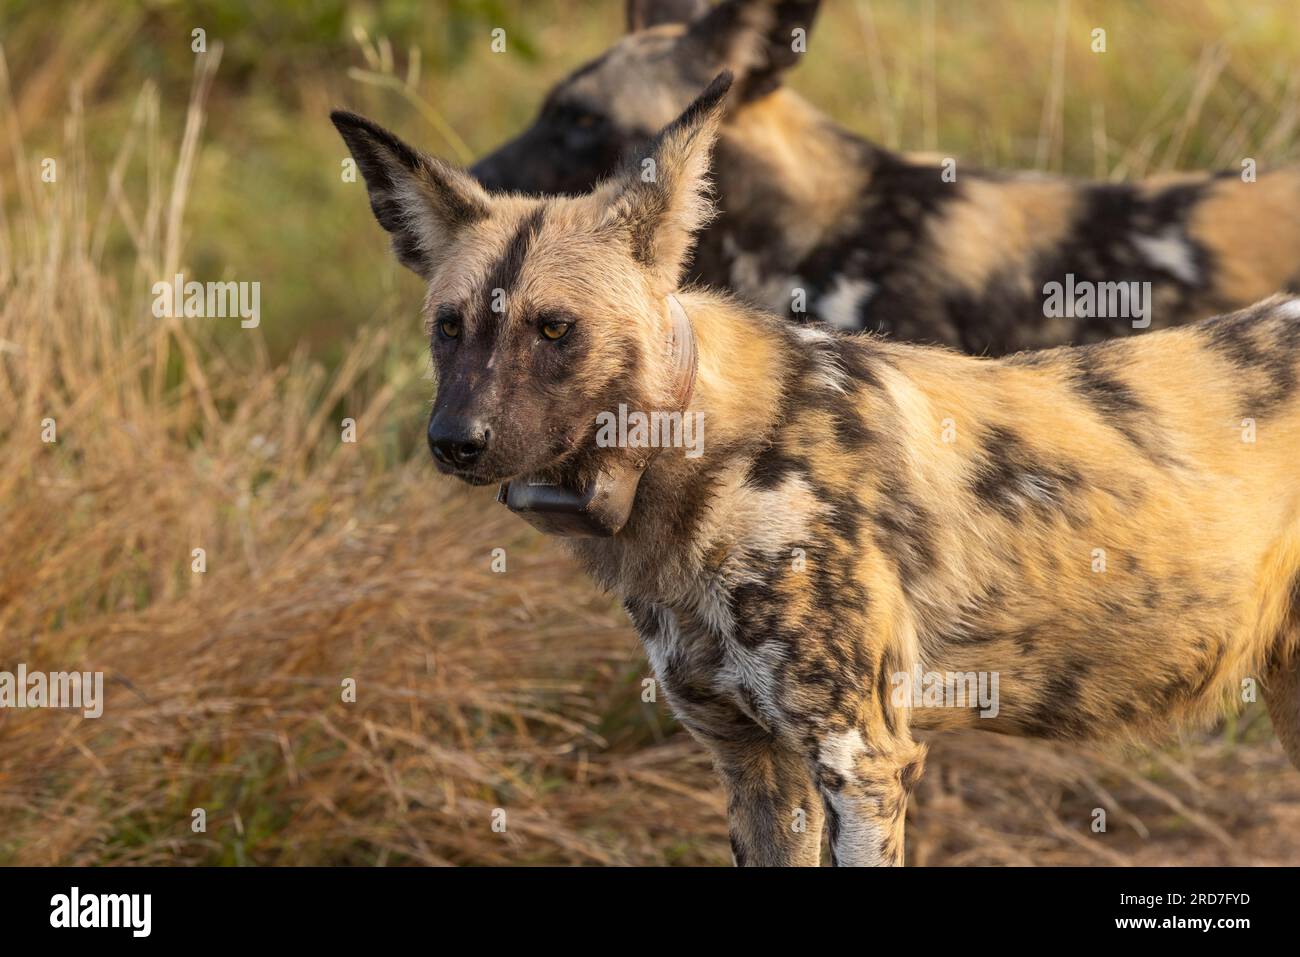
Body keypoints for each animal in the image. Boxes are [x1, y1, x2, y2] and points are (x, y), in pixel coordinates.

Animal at [332, 76, 1300, 868]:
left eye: (555, 328)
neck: (702, 466)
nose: (454, 439)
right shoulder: (754, 766)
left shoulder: (862, 763)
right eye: (450, 326)